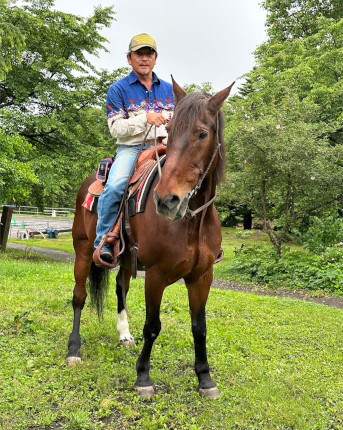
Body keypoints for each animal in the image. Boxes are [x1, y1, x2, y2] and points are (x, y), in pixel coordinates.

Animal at [66, 78, 235, 400]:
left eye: (202, 134)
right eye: (170, 131)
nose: (166, 200)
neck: (191, 221)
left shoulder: (201, 277)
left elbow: (200, 327)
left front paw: (205, 379)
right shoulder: (156, 275)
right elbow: (153, 326)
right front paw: (143, 377)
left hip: (124, 259)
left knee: (120, 289)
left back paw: (124, 335)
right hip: (82, 252)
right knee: (79, 297)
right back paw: (73, 349)